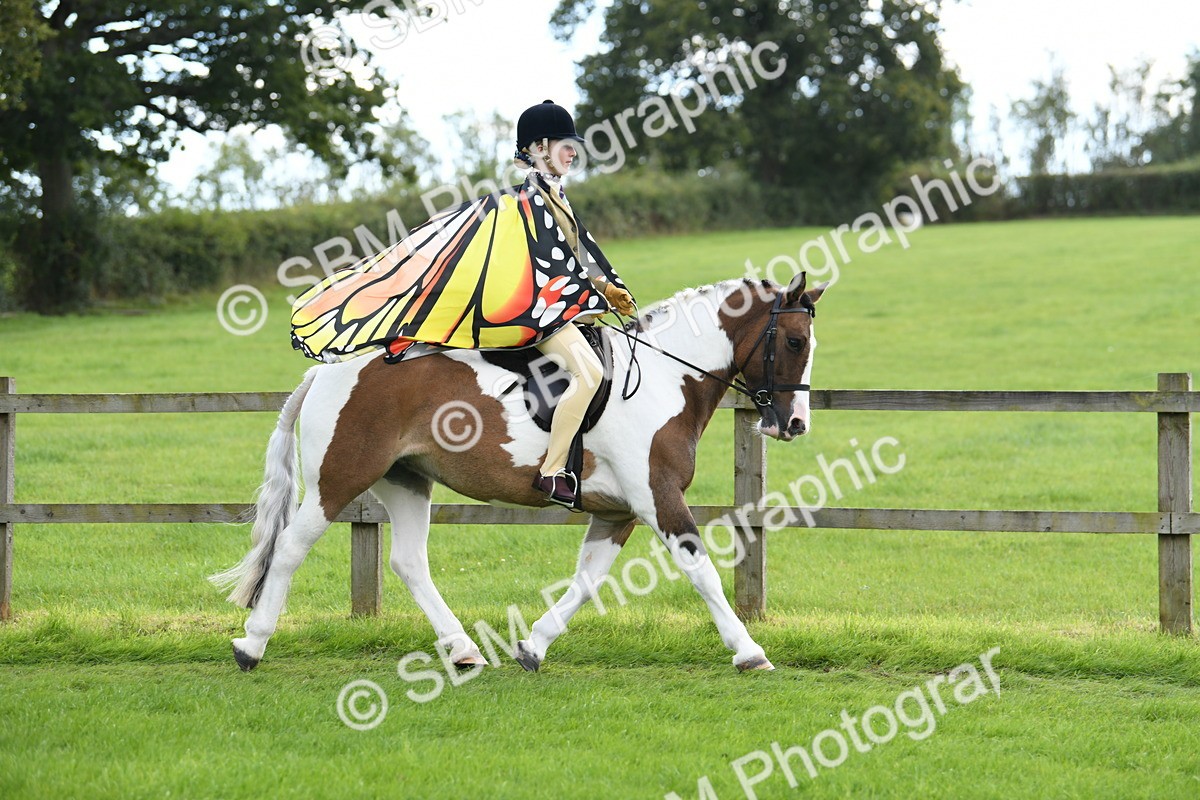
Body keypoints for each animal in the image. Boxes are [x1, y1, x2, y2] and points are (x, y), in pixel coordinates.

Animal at [210, 272, 828, 672]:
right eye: (796, 340)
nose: (796, 423)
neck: (662, 379)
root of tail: (326, 373)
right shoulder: (657, 498)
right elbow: (701, 572)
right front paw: (749, 652)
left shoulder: (617, 512)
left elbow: (587, 581)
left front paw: (533, 646)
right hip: (338, 480)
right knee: (291, 548)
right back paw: (251, 645)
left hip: (406, 479)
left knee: (409, 562)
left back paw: (462, 650)